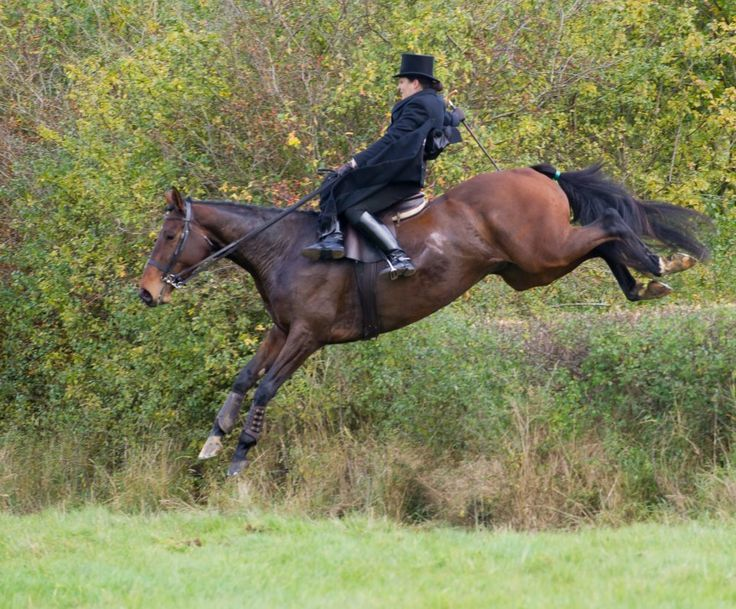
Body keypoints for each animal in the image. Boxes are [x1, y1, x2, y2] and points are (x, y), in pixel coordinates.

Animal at [139, 164, 711, 476]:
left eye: (168, 237)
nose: (146, 293)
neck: (285, 249)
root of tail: (534, 173)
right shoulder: (282, 330)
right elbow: (244, 378)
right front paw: (214, 440)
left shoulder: (308, 335)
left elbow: (266, 388)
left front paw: (240, 456)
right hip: (530, 270)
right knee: (602, 241)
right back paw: (648, 281)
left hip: (541, 253)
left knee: (609, 224)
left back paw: (660, 264)